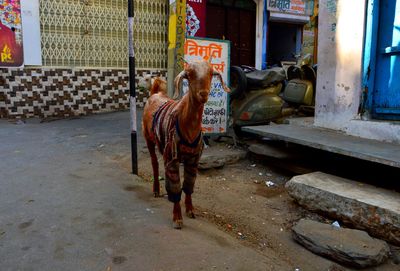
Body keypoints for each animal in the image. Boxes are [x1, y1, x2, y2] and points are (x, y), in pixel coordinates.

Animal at [142, 60, 230, 230]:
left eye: (211, 73)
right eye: (189, 74)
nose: (203, 94)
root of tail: (155, 93)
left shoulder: (194, 159)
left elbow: (189, 184)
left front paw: (190, 209)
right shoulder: (172, 157)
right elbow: (175, 186)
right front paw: (177, 218)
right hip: (148, 137)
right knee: (154, 163)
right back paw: (156, 190)